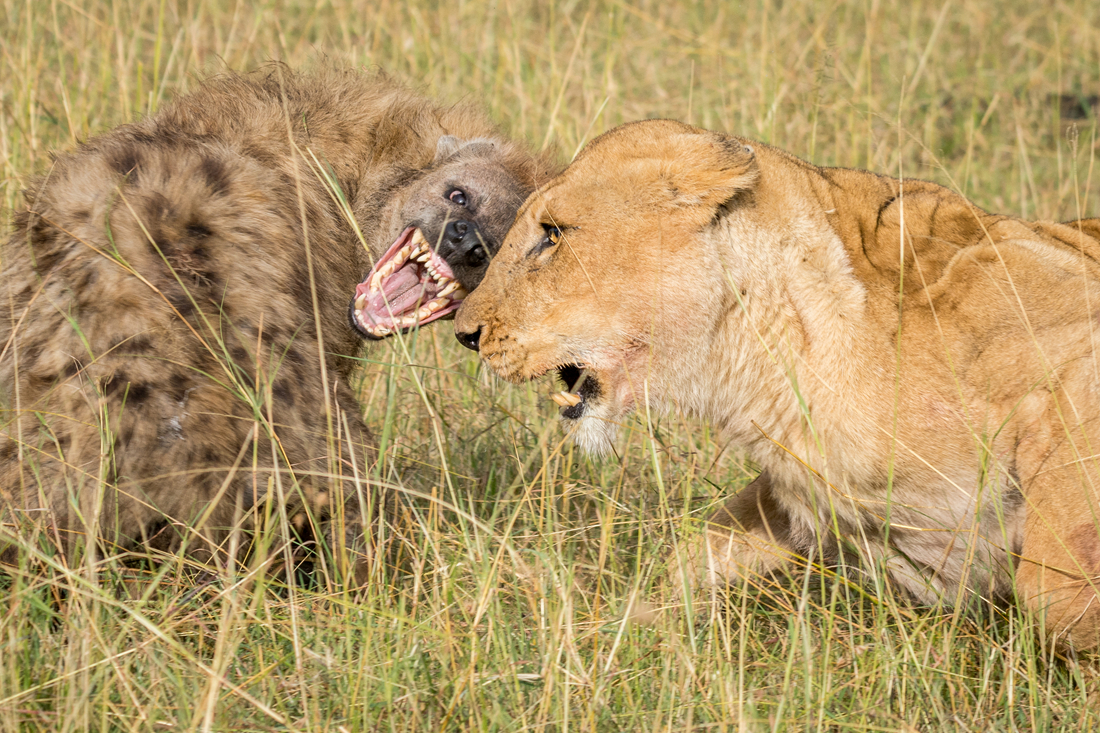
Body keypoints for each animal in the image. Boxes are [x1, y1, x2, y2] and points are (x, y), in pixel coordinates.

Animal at [455, 118, 1100, 648]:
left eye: (552, 234)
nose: (466, 334)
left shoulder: (1072, 361)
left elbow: (1054, 594)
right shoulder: (796, 489)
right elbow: (695, 553)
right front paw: (601, 629)